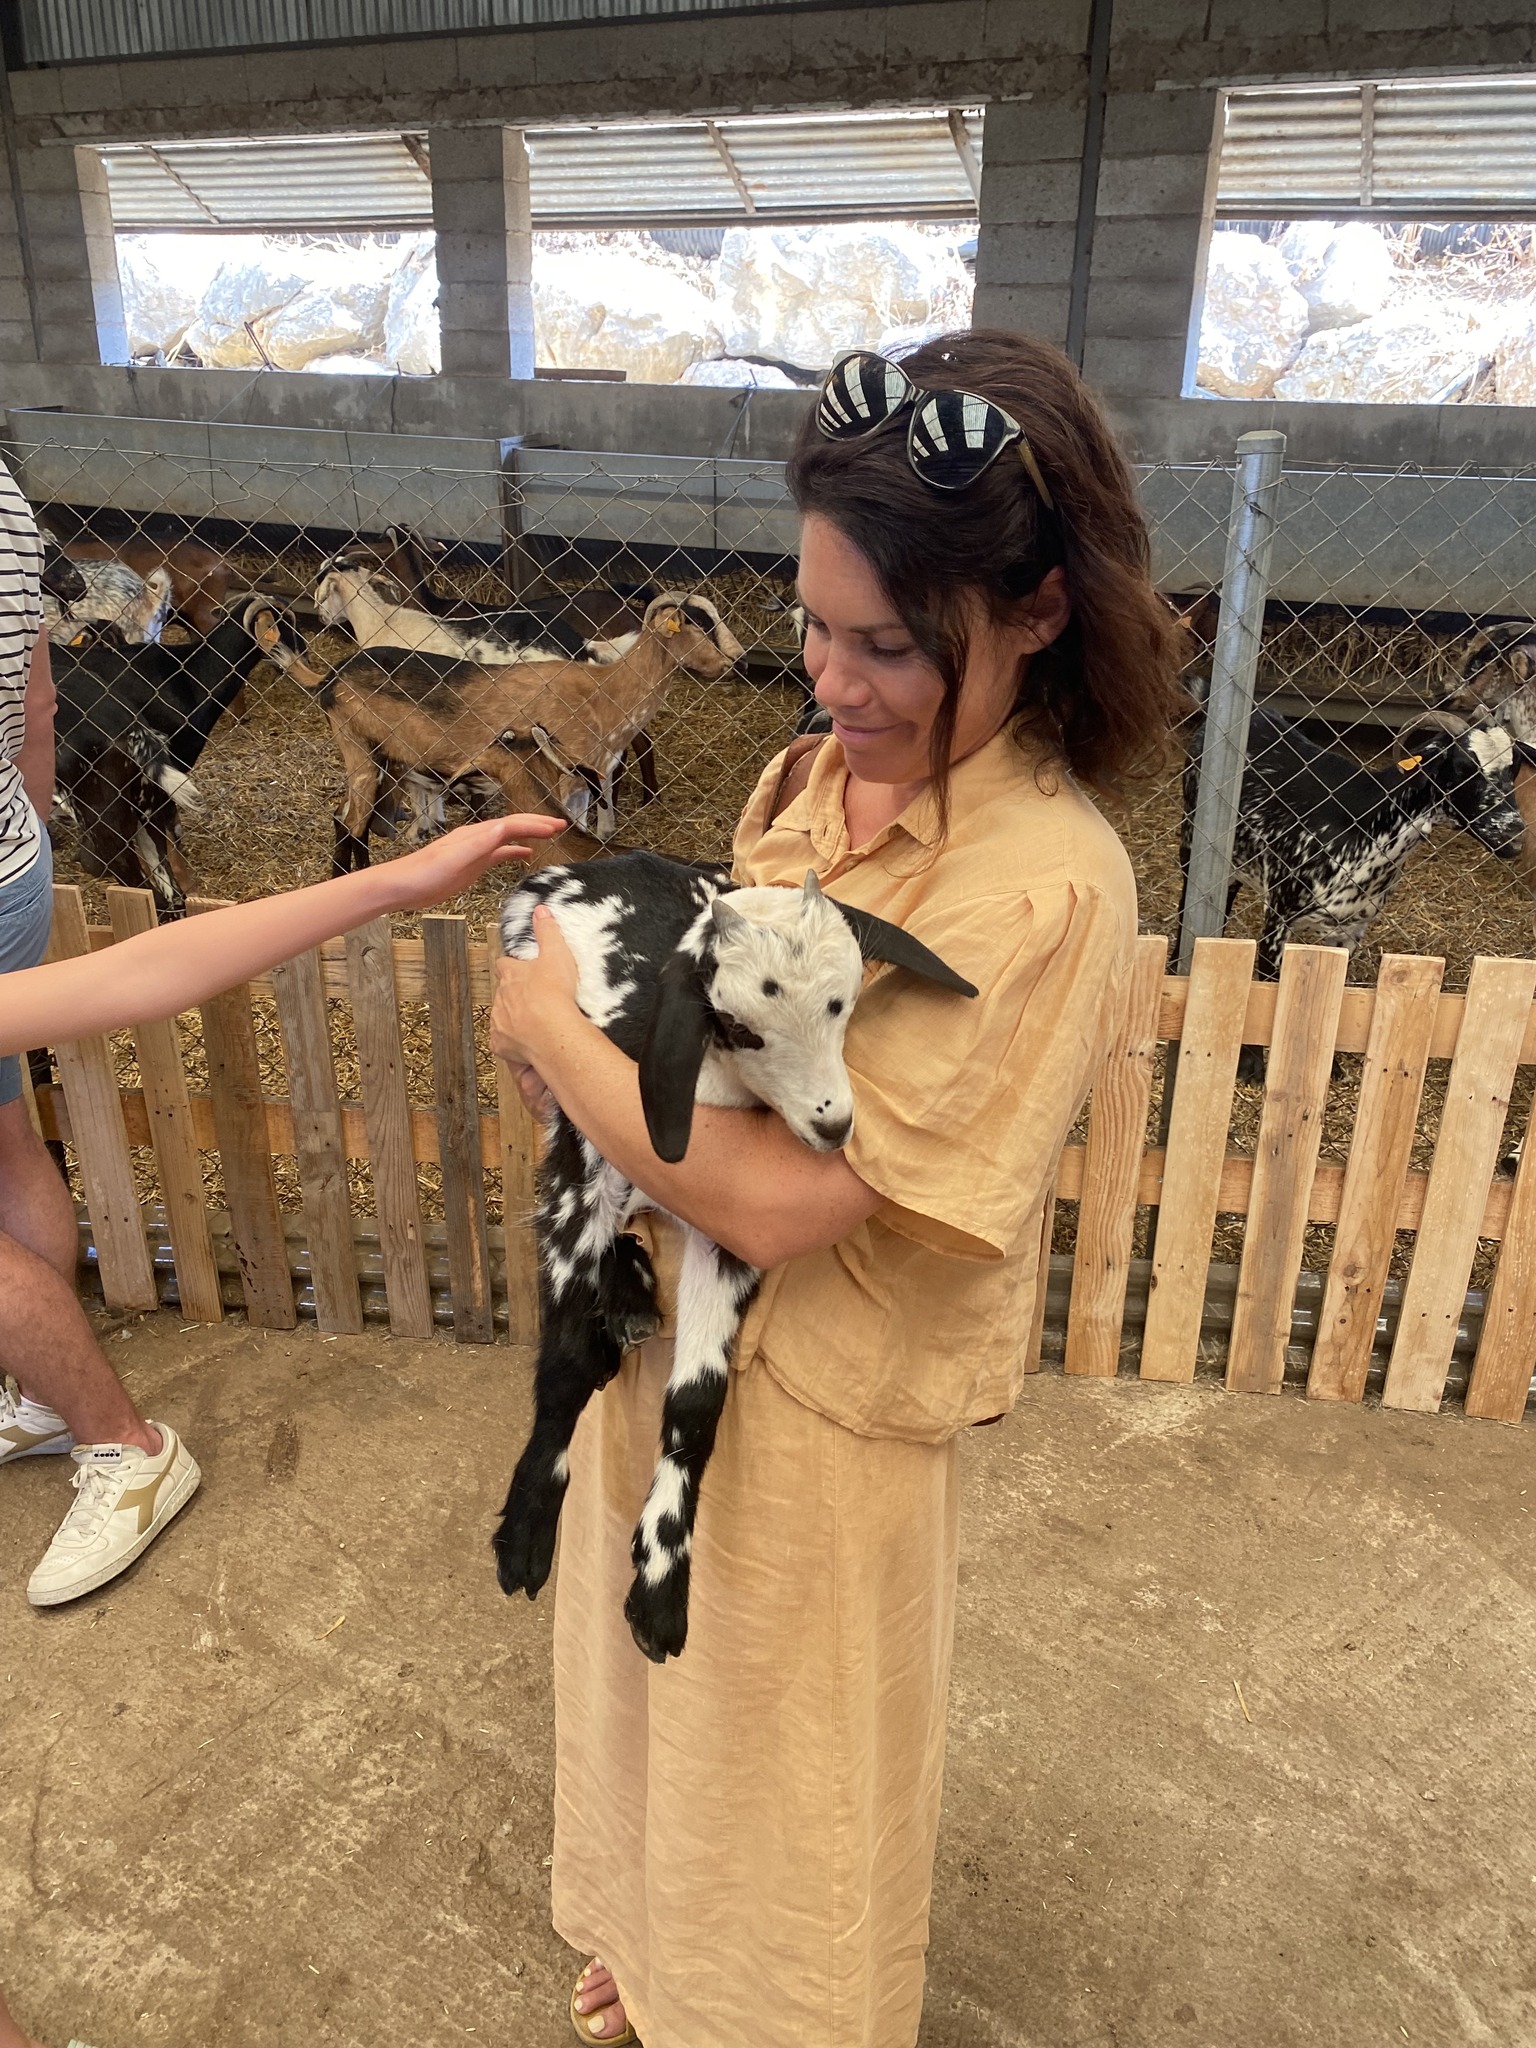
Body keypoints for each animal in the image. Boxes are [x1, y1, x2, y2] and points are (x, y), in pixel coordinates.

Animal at [308, 592, 742, 874]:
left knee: (351, 822)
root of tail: (332, 678)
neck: (606, 692)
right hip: (358, 751)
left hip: (384, 760)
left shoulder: (584, 779)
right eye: (700, 626)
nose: (735, 661)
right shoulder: (563, 775)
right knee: (349, 823)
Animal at [492, 852, 977, 1661]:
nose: (834, 1125)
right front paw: (525, 1531)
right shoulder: (578, 1166)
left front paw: (660, 1589)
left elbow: (695, 1404)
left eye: (845, 1004)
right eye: (742, 1029)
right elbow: (560, 1364)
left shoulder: (729, 1236)